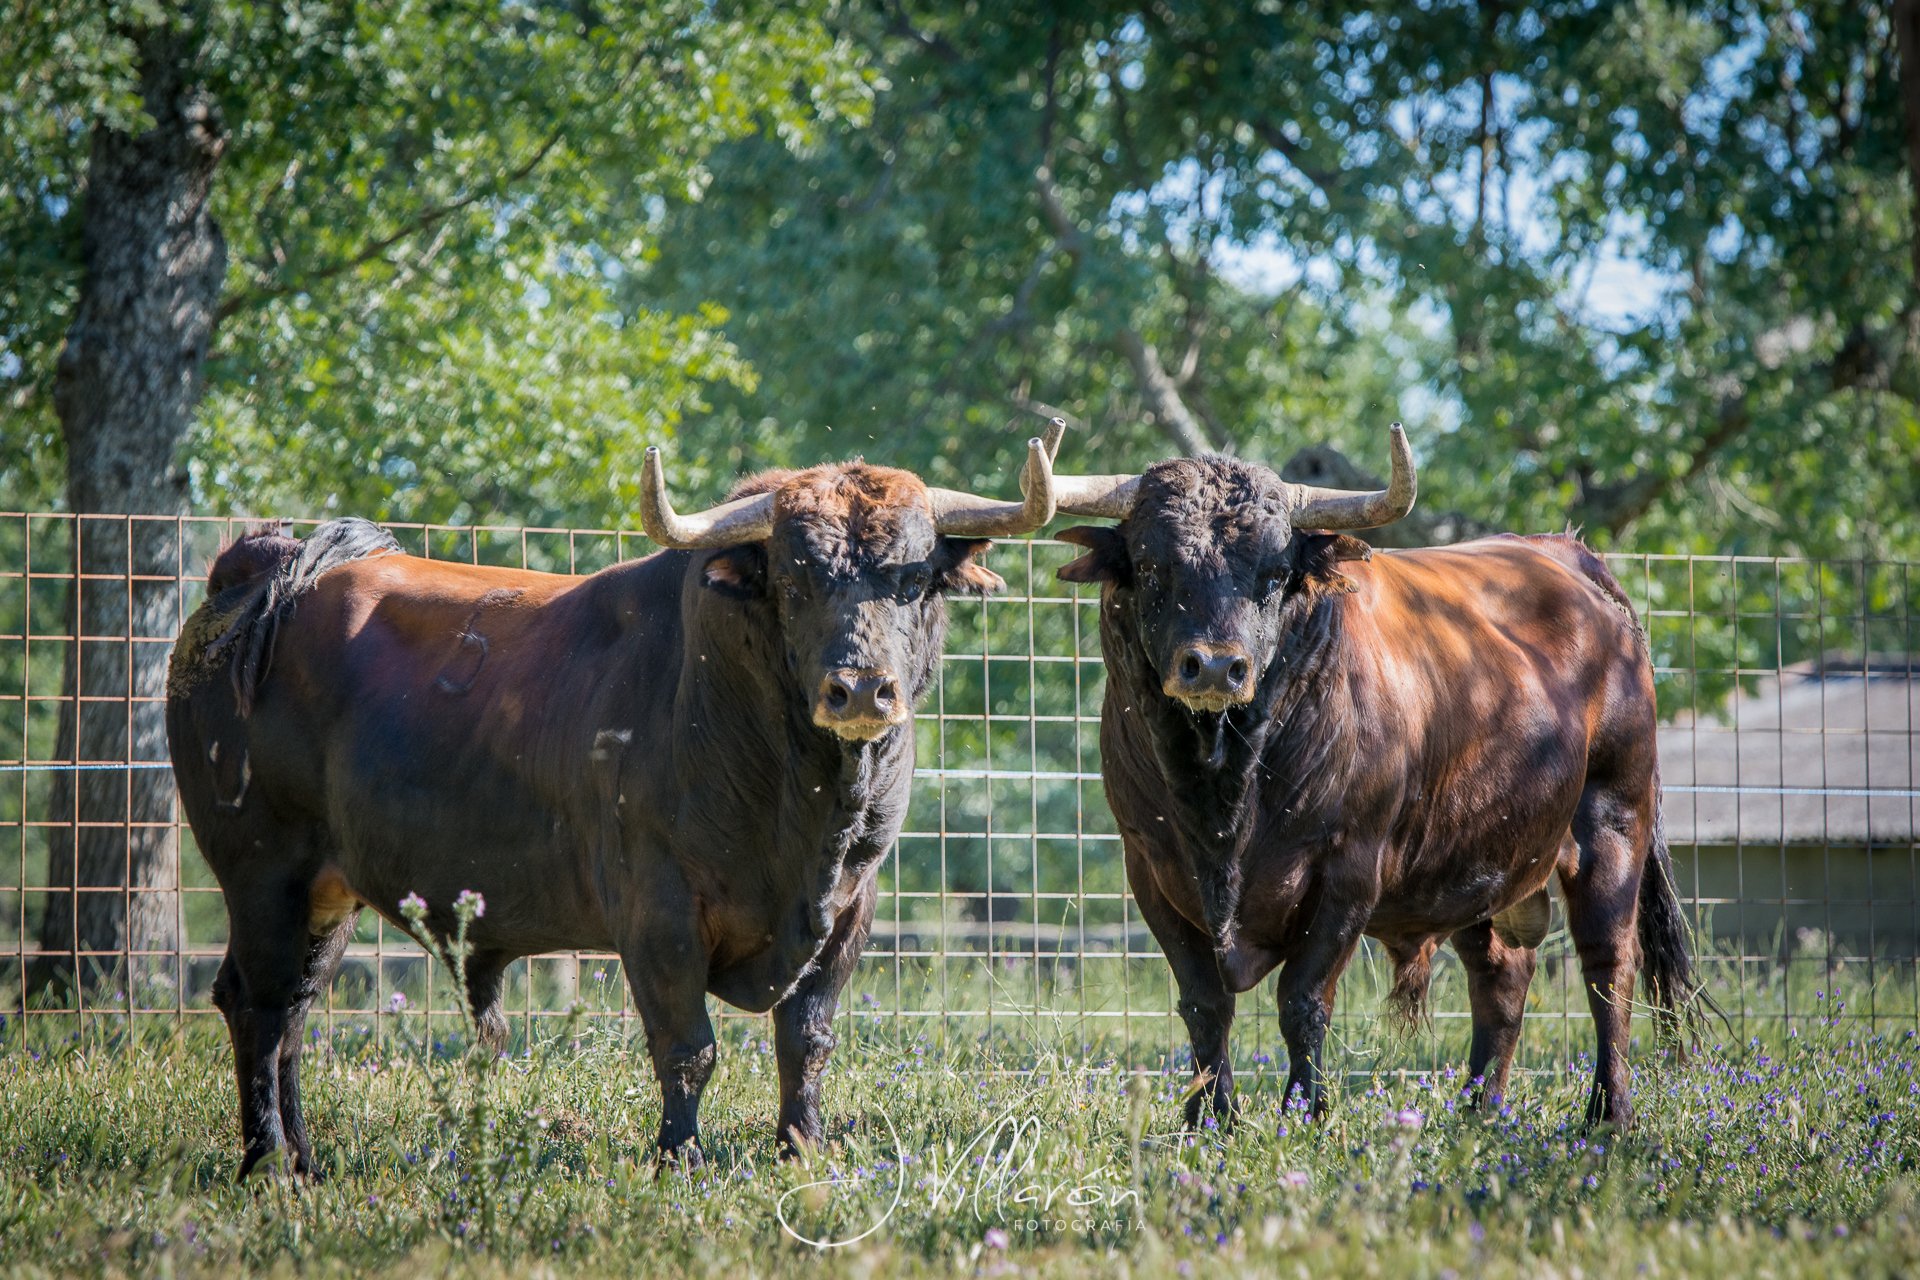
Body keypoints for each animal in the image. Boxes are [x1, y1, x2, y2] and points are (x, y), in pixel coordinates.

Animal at [165, 436, 1059, 1177]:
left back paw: (305, 1160)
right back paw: (267, 1165)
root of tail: (264, 567)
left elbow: (806, 1041)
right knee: (258, 1005)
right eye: (796, 577)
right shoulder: (656, 910)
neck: (796, 795)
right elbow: (686, 1047)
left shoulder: (849, 909)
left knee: (293, 1013)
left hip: (328, 890)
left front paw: (801, 1149)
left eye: (911, 580)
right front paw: (680, 1158)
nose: (861, 689)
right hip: (262, 871)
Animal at [1047, 424, 1707, 1127]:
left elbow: (1302, 1001)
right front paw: (1210, 1121)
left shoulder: (1348, 871)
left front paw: (1304, 1114)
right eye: (1150, 566)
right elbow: (1205, 1005)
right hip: (1481, 860)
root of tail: (1566, 554)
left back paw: (1608, 1114)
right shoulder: (1150, 868)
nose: (1216, 666)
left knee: (1610, 964)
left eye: (1274, 574)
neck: (1225, 788)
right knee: (1502, 975)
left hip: (1615, 821)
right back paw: (1477, 1111)